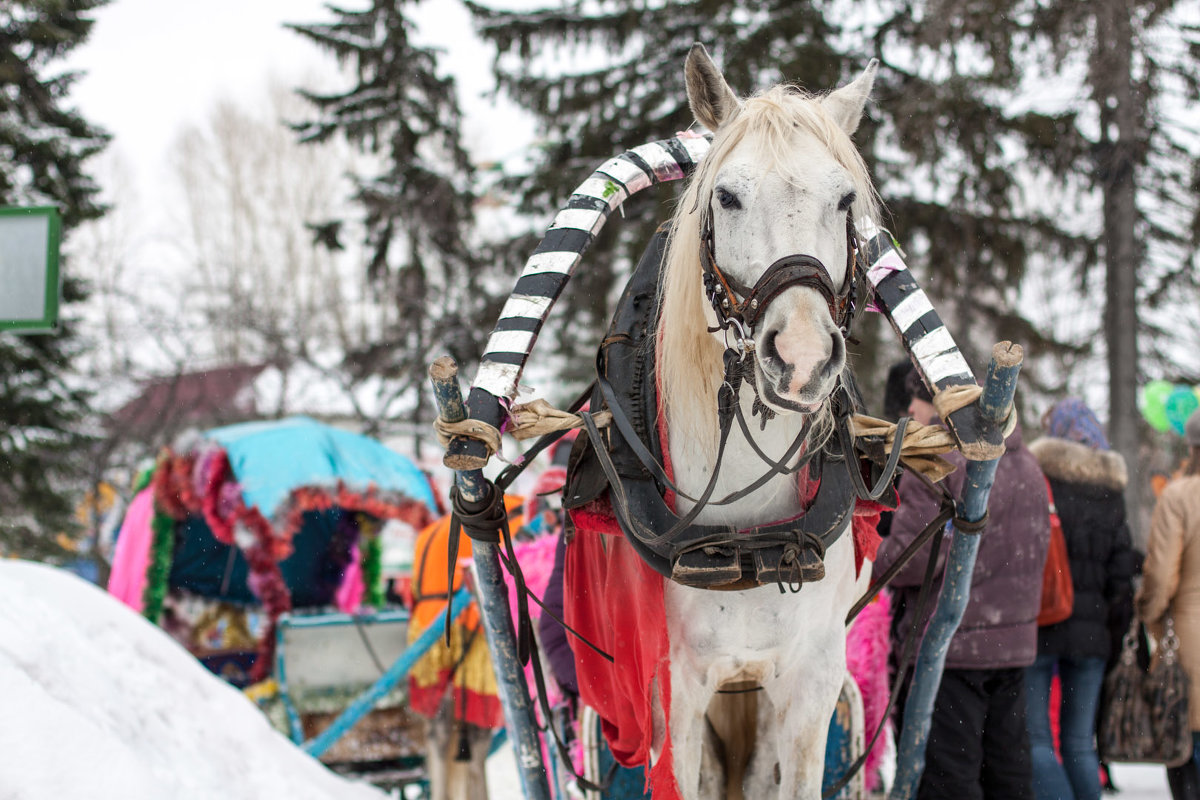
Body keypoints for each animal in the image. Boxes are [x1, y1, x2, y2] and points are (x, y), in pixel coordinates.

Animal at [566, 45, 888, 800]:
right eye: (728, 197)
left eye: (844, 199)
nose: (800, 357)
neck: (747, 533)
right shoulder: (671, 692)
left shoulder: (811, 681)